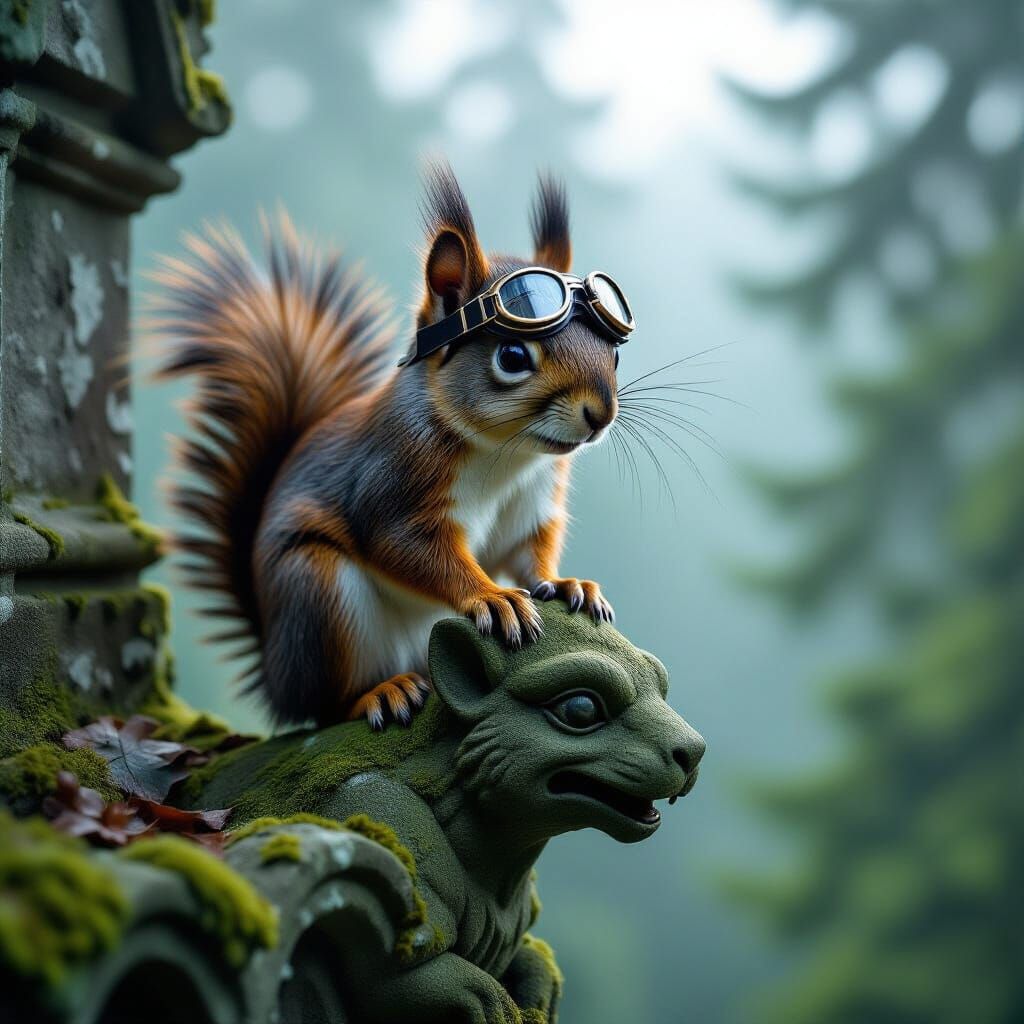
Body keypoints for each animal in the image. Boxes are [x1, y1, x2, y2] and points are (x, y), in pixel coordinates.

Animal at [151, 162, 619, 729]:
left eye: (613, 352)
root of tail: (277, 677)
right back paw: (380, 693)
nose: (601, 414)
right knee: (328, 705)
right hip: (318, 593)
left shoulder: (530, 502)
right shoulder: (392, 482)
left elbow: (527, 551)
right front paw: (492, 596)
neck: (505, 456)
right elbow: (404, 546)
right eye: (511, 356)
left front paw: (566, 584)